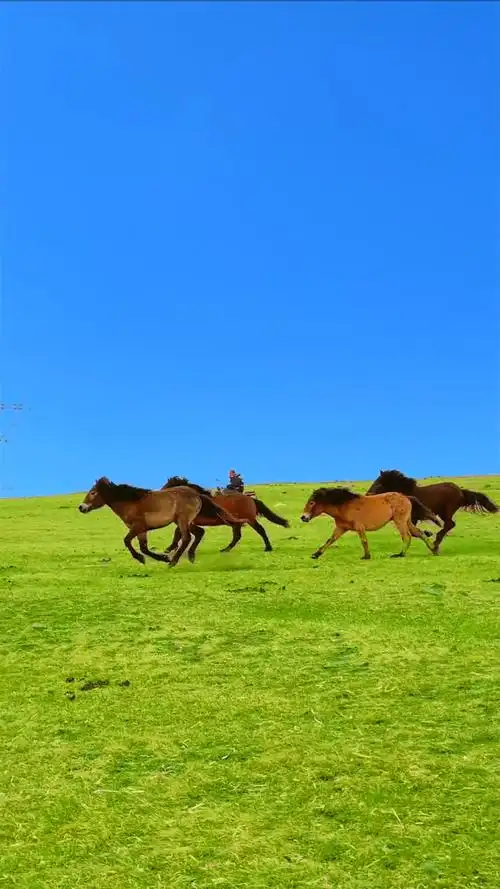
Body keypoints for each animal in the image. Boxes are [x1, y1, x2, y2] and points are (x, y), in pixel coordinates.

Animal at [78, 477, 242, 567]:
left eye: (93, 492)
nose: (81, 507)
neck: (131, 502)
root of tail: (196, 494)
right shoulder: (142, 530)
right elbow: (144, 548)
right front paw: (161, 557)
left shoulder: (137, 527)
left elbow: (127, 541)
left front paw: (145, 559)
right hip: (185, 522)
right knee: (199, 533)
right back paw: (190, 556)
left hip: (182, 521)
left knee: (186, 538)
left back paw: (173, 562)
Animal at [300, 487, 441, 561]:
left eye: (312, 502)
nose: (303, 517)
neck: (344, 506)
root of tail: (406, 497)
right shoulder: (341, 528)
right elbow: (330, 540)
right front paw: (316, 554)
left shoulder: (359, 527)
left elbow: (364, 541)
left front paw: (366, 556)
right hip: (406, 521)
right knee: (419, 533)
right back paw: (434, 550)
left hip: (399, 521)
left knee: (407, 536)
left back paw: (400, 554)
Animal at [366, 470, 498, 553]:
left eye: (378, 483)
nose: (368, 494)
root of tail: (461, 492)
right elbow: (413, 532)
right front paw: (428, 534)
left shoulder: (413, 517)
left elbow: (413, 532)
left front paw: (428, 534)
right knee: (449, 524)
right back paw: (436, 543)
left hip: (446, 511)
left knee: (450, 524)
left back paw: (436, 543)